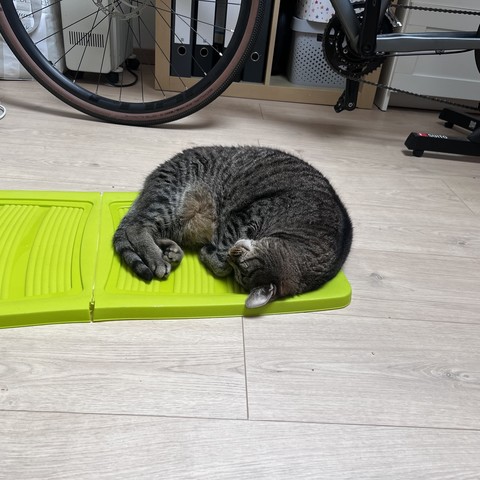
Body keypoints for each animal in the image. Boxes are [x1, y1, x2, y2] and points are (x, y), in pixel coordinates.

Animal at [113, 146, 352, 310]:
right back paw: (157, 258)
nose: (233, 252)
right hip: (169, 203)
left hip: (177, 220)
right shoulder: (247, 216)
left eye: (241, 268)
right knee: (135, 227)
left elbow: (220, 261)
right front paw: (213, 255)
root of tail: (151, 180)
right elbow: (221, 257)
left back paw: (171, 251)